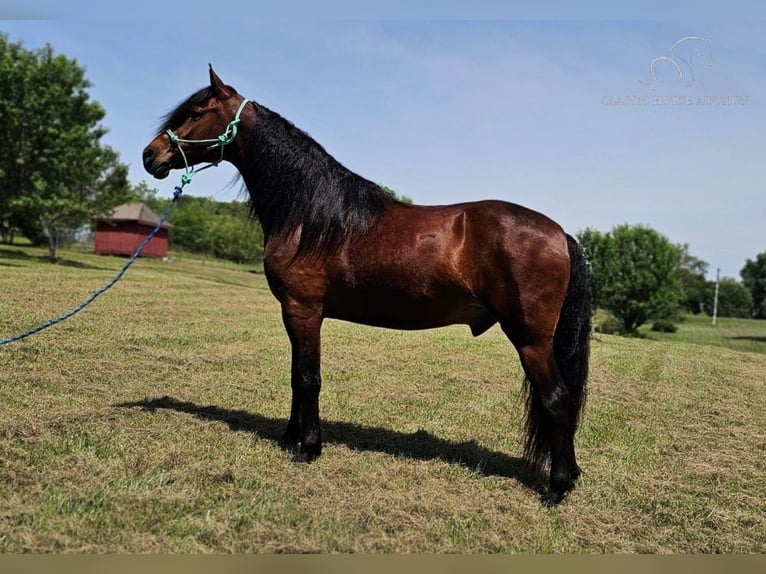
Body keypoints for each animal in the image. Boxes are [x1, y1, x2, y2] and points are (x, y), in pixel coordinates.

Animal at [141, 68, 592, 508]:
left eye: (196, 112)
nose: (150, 155)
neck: (309, 216)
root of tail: (561, 234)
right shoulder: (295, 312)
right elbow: (296, 376)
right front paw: (289, 438)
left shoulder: (303, 309)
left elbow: (308, 377)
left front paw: (308, 447)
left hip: (530, 339)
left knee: (557, 400)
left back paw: (557, 487)